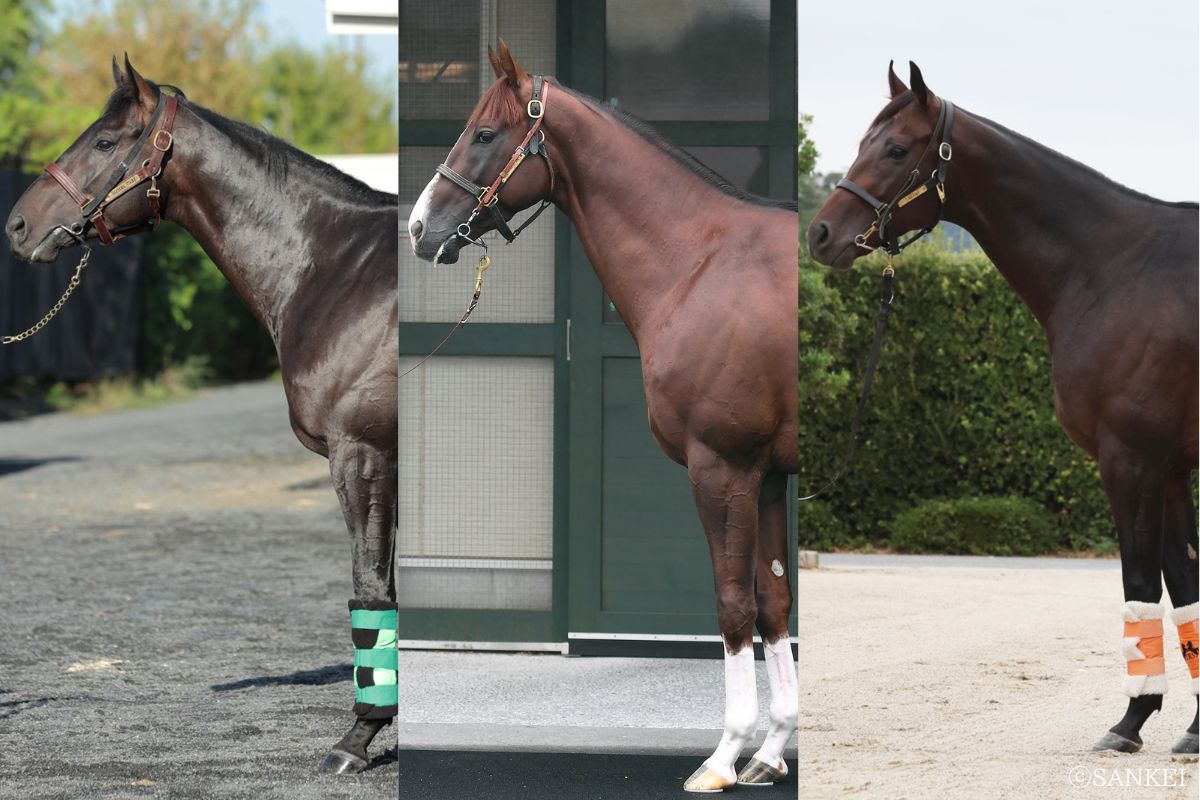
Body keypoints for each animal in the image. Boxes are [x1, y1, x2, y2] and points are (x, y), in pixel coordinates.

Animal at [4, 57, 399, 774]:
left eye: (105, 141)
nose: (18, 226)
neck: (336, 268)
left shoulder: (364, 455)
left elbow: (370, 588)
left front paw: (358, 737)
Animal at [406, 40, 799, 792]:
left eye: (485, 134)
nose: (418, 227)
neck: (703, 262)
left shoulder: (724, 469)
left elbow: (733, 603)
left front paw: (724, 757)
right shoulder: (766, 478)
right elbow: (772, 603)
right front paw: (769, 752)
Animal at [807, 61, 1199, 755]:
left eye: (896, 149)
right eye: (861, 142)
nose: (820, 234)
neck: (1117, 270)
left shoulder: (1132, 462)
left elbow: (1139, 583)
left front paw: (1130, 722)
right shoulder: (1172, 468)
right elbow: (1184, 587)